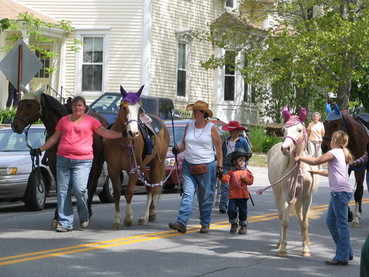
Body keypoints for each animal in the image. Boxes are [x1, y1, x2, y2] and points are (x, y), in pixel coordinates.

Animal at [11, 89, 109, 219]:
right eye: (20, 103)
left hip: (96, 165)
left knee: (91, 184)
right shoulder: (55, 164)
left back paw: (88, 209)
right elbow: (60, 188)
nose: (15, 125)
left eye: (29, 105)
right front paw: (58, 214)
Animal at [103, 85, 170, 227]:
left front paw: (128, 218)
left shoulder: (134, 169)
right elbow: (117, 193)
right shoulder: (113, 169)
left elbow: (129, 192)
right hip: (145, 167)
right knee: (149, 187)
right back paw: (149, 214)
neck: (122, 142)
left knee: (152, 188)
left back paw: (146, 216)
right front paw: (116, 220)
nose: (133, 132)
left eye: (139, 108)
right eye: (123, 107)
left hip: (156, 164)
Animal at [266, 106, 318, 256]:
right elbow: (285, 221)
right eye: (284, 130)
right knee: (280, 216)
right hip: (277, 194)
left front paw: (305, 248)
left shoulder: (307, 197)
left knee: (299, 217)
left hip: (298, 199)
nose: (285, 148)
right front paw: (283, 248)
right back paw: (279, 242)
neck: (298, 167)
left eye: (299, 130)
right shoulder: (287, 195)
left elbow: (304, 222)